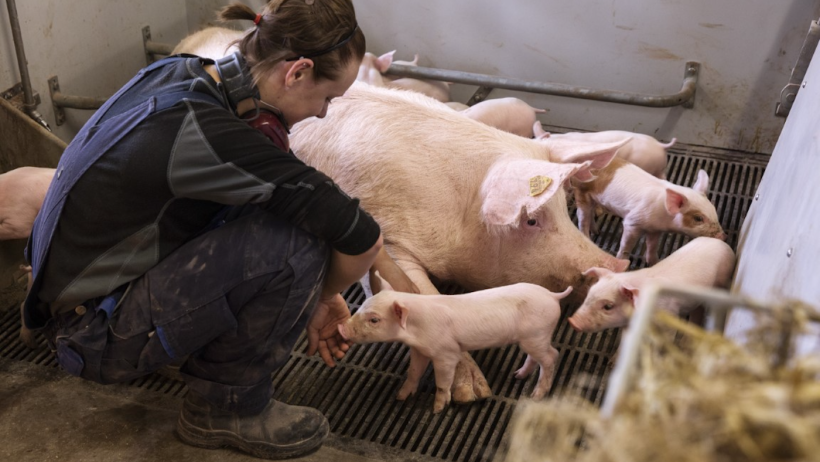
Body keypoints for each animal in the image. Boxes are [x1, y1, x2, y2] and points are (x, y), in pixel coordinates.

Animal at [339, 275, 571, 413]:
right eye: (362, 306)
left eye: (374, 320)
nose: (342, 328)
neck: (415, 329)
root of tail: (552, 295)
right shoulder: (420, 350)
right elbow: (413, 372)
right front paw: (400, 397)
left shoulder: (446, 353)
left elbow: (443, 382)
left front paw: (437, 409)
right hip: (532, 338)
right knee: (538, 357)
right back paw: (518, 376)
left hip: (537, 335)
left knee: (553, 356)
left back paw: (536, 396)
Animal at [568, 155, 725, 266]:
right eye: (698, 218)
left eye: (714, 210)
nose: (723, 236)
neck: (663, 216)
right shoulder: (633, 222)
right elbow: (626, 245)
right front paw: (624, 262)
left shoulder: (655, 230)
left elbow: (652, 246)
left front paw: (655, 262)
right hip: (581, 191)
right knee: (582, 216)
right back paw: (588, 237)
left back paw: (597, 232)